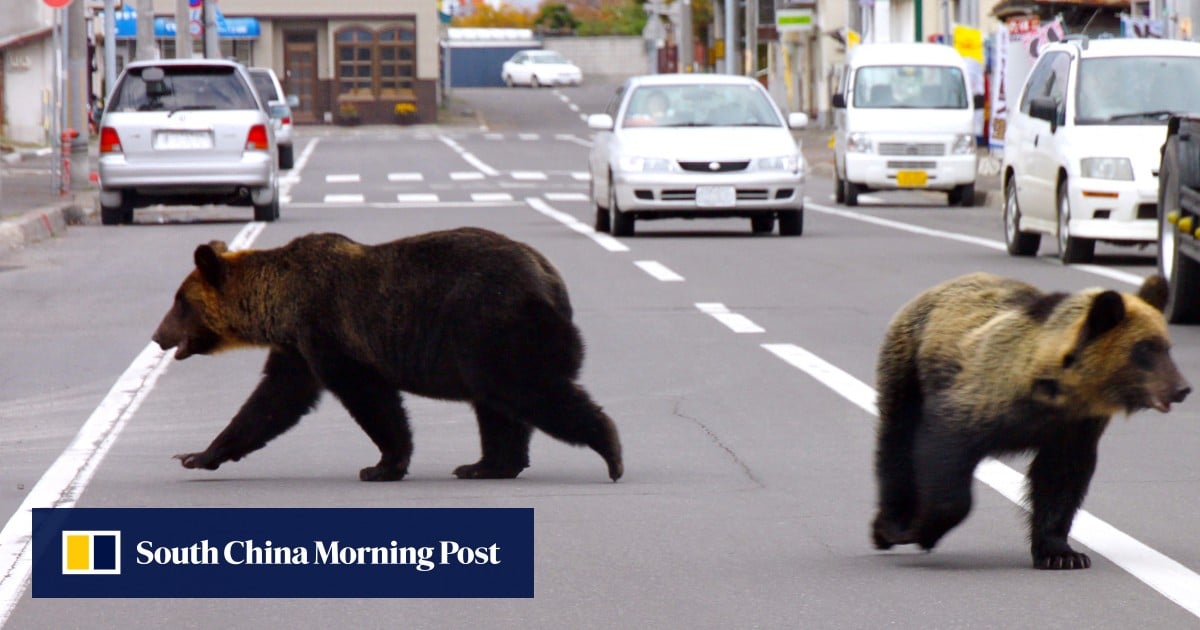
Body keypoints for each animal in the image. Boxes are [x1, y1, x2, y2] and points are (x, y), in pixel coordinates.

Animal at [151, 227, 623, 483]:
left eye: (179, 302)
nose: (157, 336)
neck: (280, 304)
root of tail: (550, 279)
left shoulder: (328, 332)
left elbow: (370, 398)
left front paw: (382, 465)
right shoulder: (298, 348)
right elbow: (271, 402)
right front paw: (197, 455)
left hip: (491, 324)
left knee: (526, 390)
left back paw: (610, 451)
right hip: (485, 340)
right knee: (497, 405)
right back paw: (485, 464)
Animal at [871, 272, 1190, 569]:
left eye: (1167, 346)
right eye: (1145, 348)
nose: (1182, 388)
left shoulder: (1074, 427)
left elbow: (1060, 480)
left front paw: (1062, 554)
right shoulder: (980, 399)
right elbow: (944, 450)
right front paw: (922, 531)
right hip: (909, 366)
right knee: (897, 440)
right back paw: (889, 525)